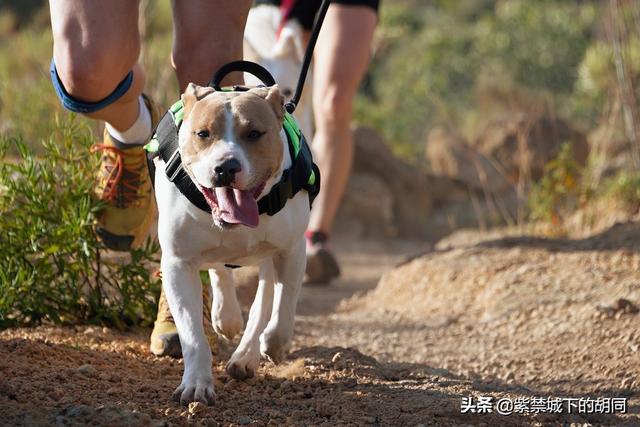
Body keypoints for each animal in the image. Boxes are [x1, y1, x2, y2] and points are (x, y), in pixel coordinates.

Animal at [158, 83, 312, 404]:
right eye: (203, 133)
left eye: (254, 133)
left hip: (269, 256)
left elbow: (282, 307)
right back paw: (226, 316)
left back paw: (245, 356)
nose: (226, 167)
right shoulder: (178, 263)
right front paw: (197, 384)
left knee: (263, 302)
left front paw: (273, 344)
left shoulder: (290, 250)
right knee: (220, 269)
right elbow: (192, 333)